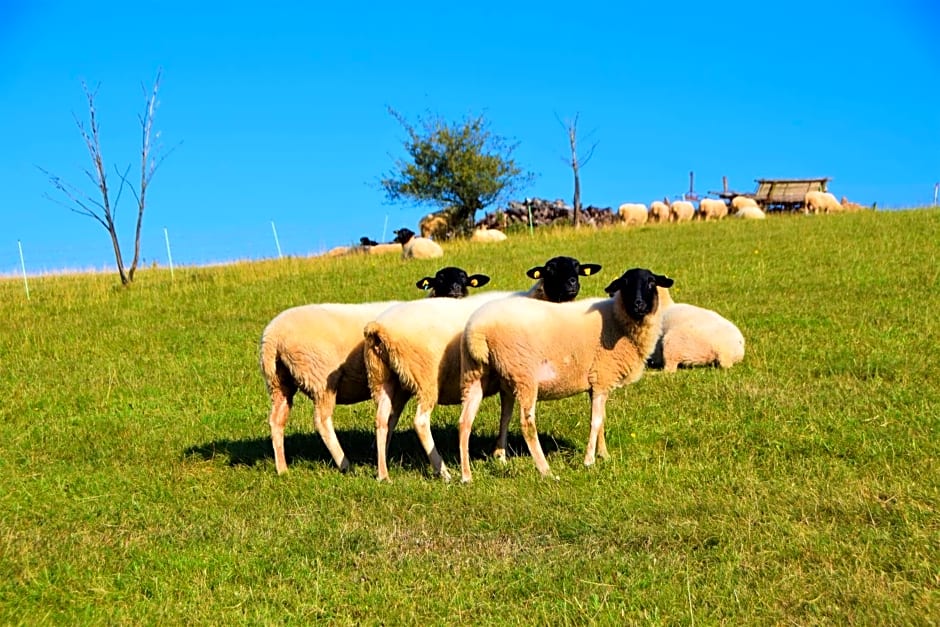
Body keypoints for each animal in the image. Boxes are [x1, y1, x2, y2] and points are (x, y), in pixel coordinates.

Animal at [258, 264, 492, 476]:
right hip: (320, 380)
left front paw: (378, 454)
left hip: (279, 382)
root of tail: (273, 337)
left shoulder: (399, 385)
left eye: (465, 278)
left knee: (276, 420)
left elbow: (391, 418)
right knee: (322, 422)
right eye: (440, 279)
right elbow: (392, 417)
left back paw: (282, 469)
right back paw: (345, 464)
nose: (456, 291)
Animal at [366, 255, 604, 480]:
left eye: (577, 268)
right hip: (425, 379)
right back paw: (443, 471)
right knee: (420, 422)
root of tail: (378, 327)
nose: (572, 283)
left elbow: (505, 414)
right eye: (550, 270)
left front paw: (499, 455)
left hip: (388, 380)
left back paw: (383, 469)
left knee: (384, 420)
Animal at [458, 266, 672, 480]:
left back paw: (472, 473)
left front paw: (604, 455)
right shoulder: (602, 377)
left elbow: (602, 419)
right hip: (524, 375)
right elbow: (595, 422)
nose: (638, 304)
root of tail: (477, 331)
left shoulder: (597, 383)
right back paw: (546, 471)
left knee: (468, 422)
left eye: (652, 282)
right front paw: (589, 461)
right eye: (625, 284)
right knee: (527, 425)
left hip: (478, 375)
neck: (618, 320)